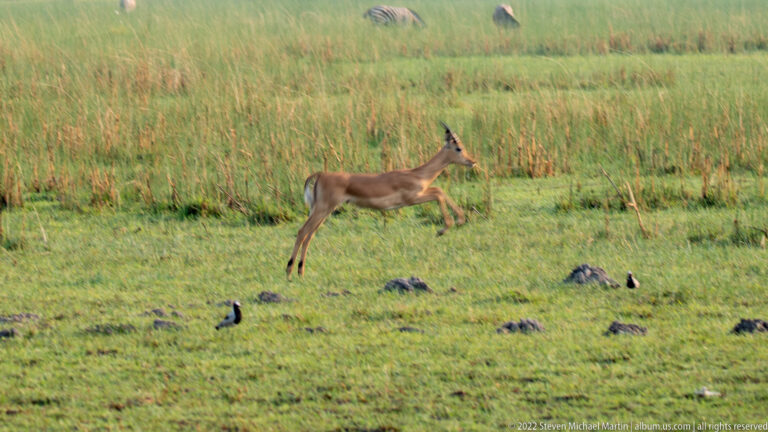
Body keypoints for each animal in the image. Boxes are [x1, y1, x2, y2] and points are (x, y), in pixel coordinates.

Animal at [286, 122, 476, 278]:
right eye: (458, 148)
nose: (472, 161)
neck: (417, 174)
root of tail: (320, 175)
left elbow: (439, 191)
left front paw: (457, 221)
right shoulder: (412, 198)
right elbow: (439, 193)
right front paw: (446, 227)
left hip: (320, 210)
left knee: (309, 235)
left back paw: (300, 271)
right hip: (322, 209)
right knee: (302, 232)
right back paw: (289, 271)